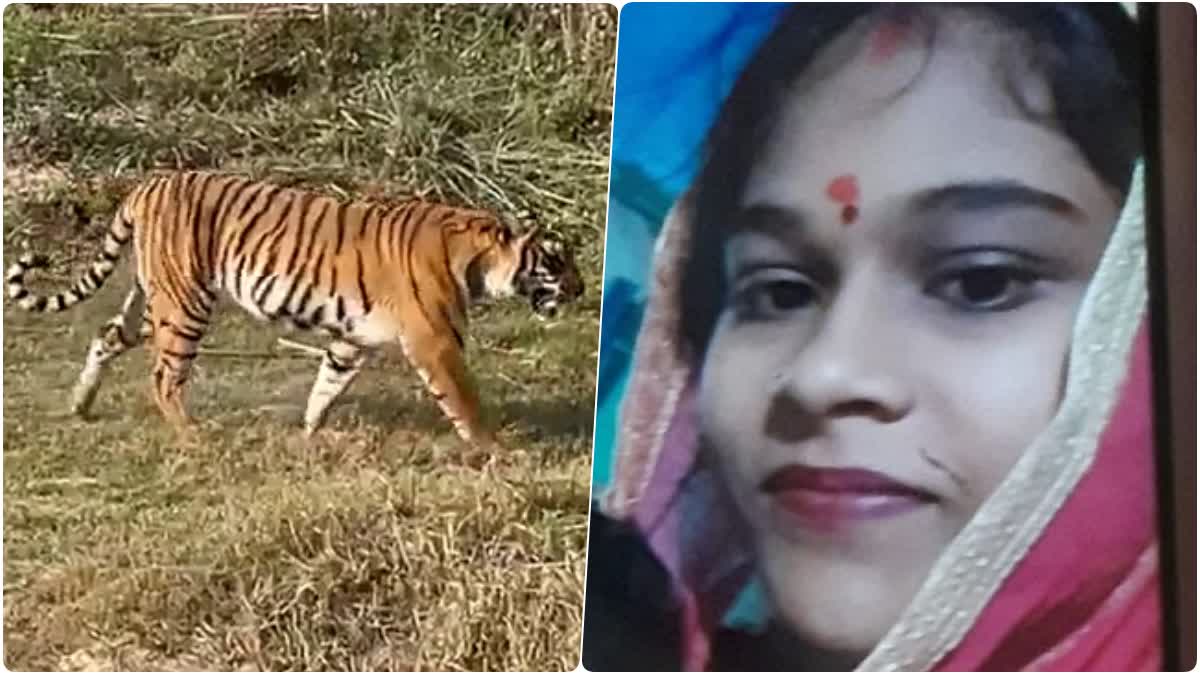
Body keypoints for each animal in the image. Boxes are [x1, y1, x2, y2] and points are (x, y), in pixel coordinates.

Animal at [6, 170, 584, 448]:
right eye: (556, 259)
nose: (581, 289)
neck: (477, 256)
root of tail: (148, 183)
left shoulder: (352, 340)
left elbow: (326, 387)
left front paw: (309, 434)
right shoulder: (435, 341)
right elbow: (464, 400)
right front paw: (498, 451)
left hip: (154, 301)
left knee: (105, 336)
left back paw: (80, 404)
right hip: (184, 305)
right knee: (164, 377)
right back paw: (193, 436)